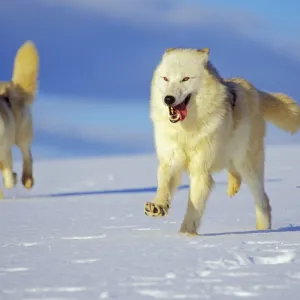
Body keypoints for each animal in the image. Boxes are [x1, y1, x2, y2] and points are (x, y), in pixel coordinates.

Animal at [144, 47, 298, 234]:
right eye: (166, 78)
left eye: (185, 79)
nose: (168, 99)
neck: (187, 130)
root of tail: (253, 89)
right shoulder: (171, 160)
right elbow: (164, 186)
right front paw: (158, 206)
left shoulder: (201, 171)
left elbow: (193, 207)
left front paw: (186, 235)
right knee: (235, 174)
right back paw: (233, 188)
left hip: (247, 165)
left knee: (262, 201)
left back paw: (263, 231)